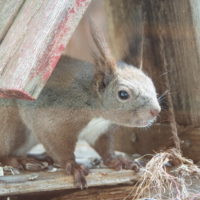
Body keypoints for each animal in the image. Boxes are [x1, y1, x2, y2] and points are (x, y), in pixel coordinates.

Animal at [0, 20, 160, 188]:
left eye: (152, 84)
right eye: (123, 94)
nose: (156, 111)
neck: (96, 111)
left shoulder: (99, 131)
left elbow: (105, 149)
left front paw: (118, 160)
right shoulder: (52, 122)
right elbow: (59, 147)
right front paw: (74, 166)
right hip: (10, 126)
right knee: (4, 154)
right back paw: (21, 160)